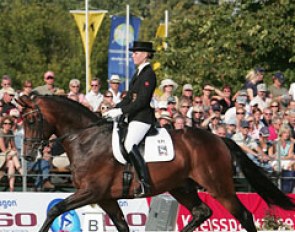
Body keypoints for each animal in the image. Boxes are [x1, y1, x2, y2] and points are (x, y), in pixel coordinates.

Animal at [16, 94, 295, 232]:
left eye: (31, 121)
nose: (28, 156)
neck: (86, 139)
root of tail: (218, 138)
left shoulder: (91, 191)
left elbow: (54, 209)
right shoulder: (105, 198)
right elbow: (122, 226)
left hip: (219, 186)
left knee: (244, 216)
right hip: (181, 186)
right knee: (202, 212)